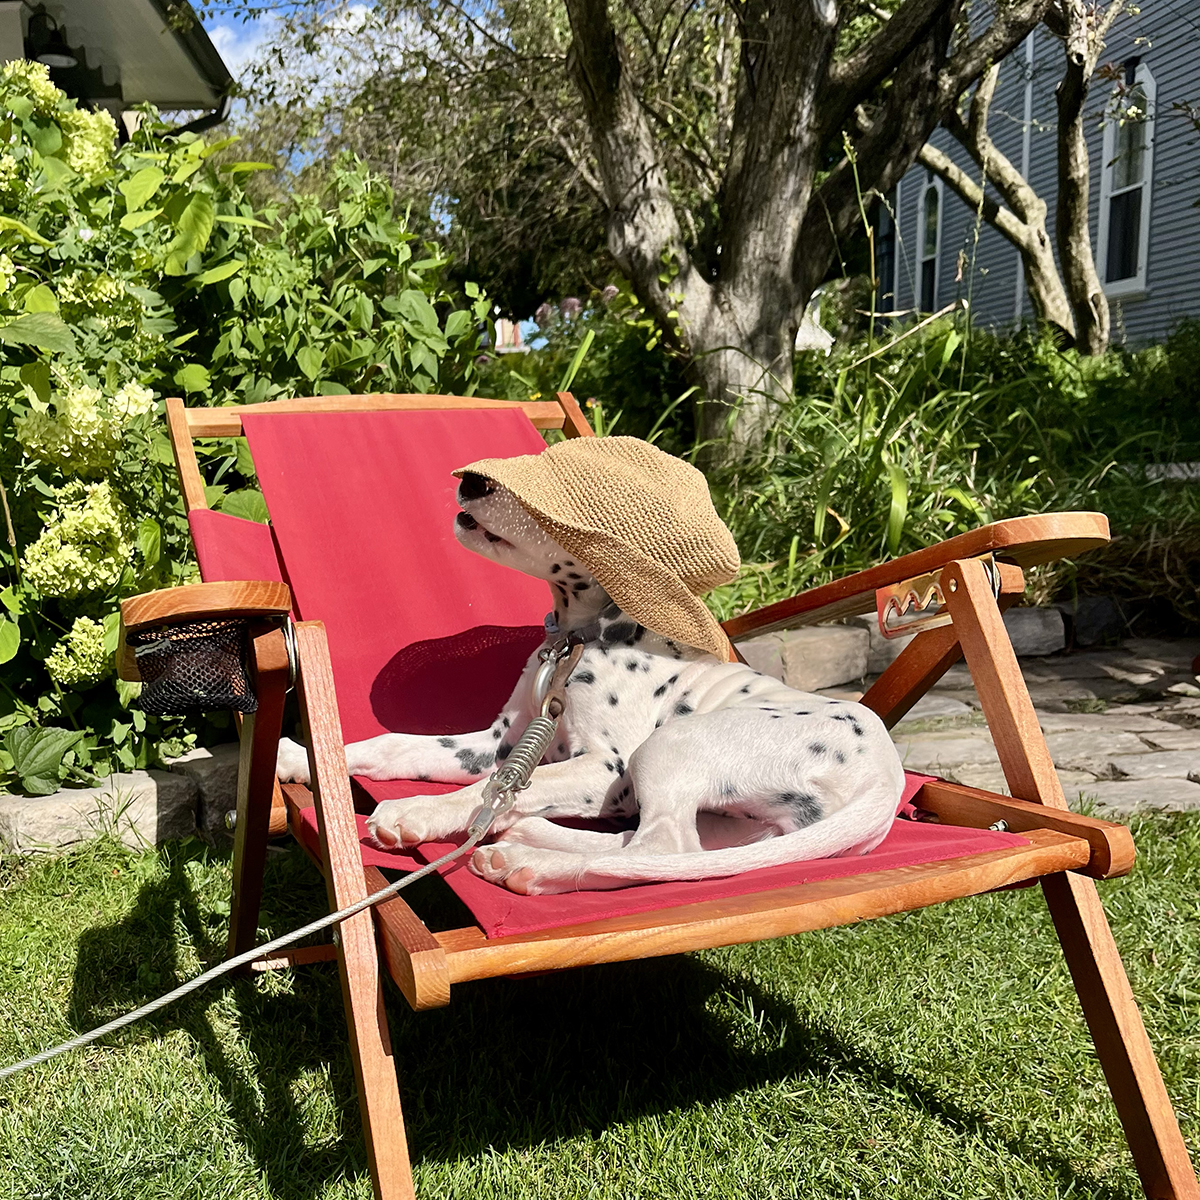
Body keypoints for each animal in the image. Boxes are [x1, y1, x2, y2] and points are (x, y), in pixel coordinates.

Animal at [276, 465, 906, 896]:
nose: (472, 481)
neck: (579, 638)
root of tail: (887, 778)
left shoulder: (607, 768)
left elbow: (491, 789)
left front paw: (418, 813)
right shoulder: (497, 743)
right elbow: (394, 746)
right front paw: (301, 758)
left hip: (670, 746)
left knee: (660, 847)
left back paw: (534, 862)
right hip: (738, 824)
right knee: (663, 854)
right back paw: (526, 840)